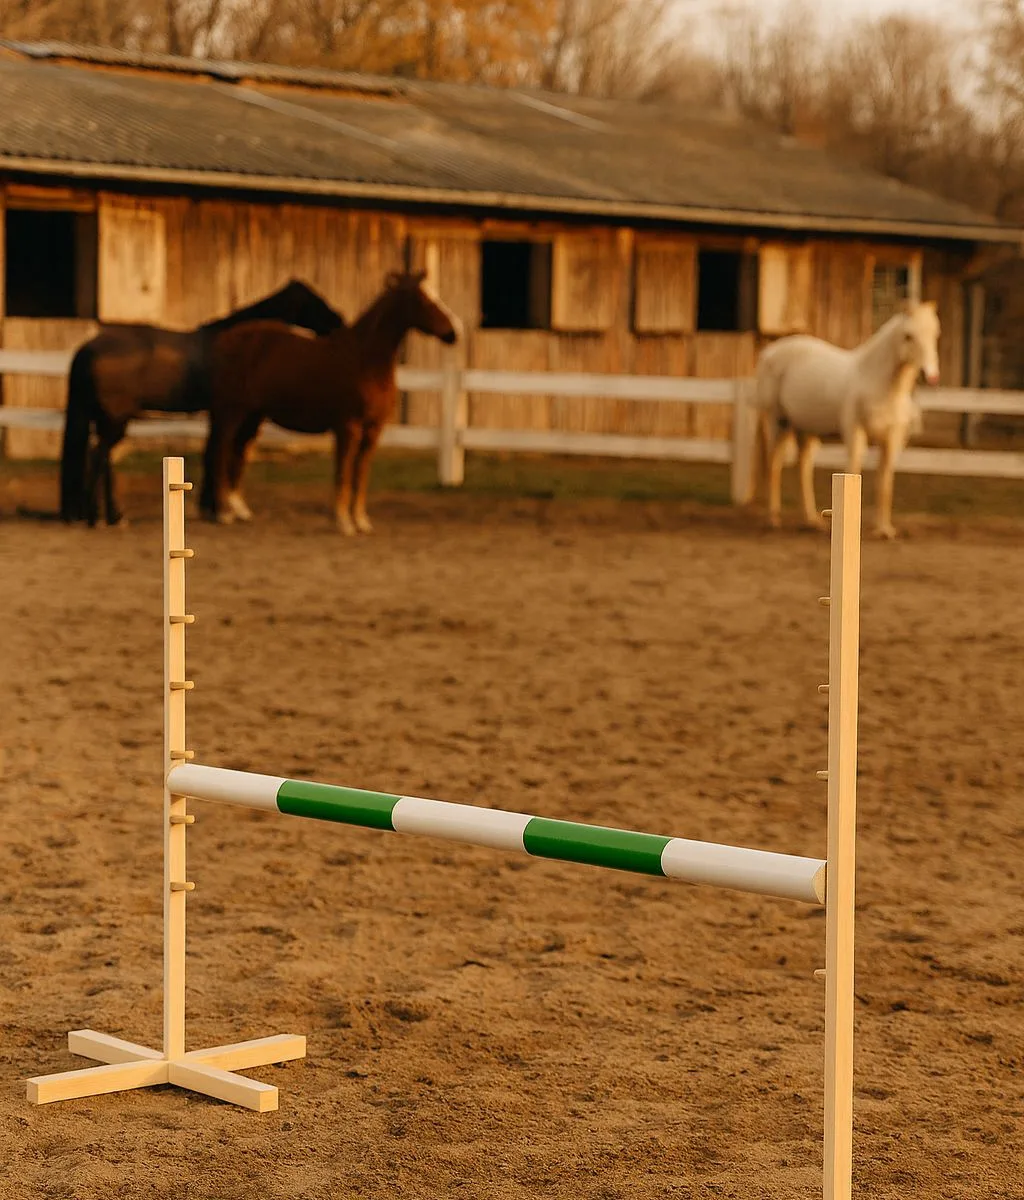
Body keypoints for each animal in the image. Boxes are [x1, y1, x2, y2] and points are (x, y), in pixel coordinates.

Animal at [59, 280, 344, 527]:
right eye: (313, 300)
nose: (339, 321)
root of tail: (88, 348)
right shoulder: (233, 412)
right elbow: (222, 453)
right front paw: (220, 509)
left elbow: (214, 452)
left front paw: (211, 507)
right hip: (114, 419)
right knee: (99, 455)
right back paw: (100, 517)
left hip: (106, 418)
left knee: (101, 457)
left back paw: (109, 515)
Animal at [203, 271, 461, 534]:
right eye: (423, 300)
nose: (453, 332)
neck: (365, 361)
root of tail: (224, 339)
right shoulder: (349, 428)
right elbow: (343, 474)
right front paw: (343, 521)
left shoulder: (373, 431)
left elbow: (360, 475)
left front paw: (361, 521)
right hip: (230, 413)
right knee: (220, 454)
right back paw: (223, 513)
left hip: (252, 416)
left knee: (237, 452)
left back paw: (237, 509)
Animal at [744, 301, 940, 539]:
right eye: (908, 336)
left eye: (935, 334)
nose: (931, 376)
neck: (877, 383)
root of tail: (769, 352)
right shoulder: (855, 431)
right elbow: (854, 467)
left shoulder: (891, 439)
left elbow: (885, 483)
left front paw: (884, 529)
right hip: (778, 421)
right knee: (774, 464)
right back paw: (773, 519)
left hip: (805, 429)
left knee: (803, 467)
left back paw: (811, 521)